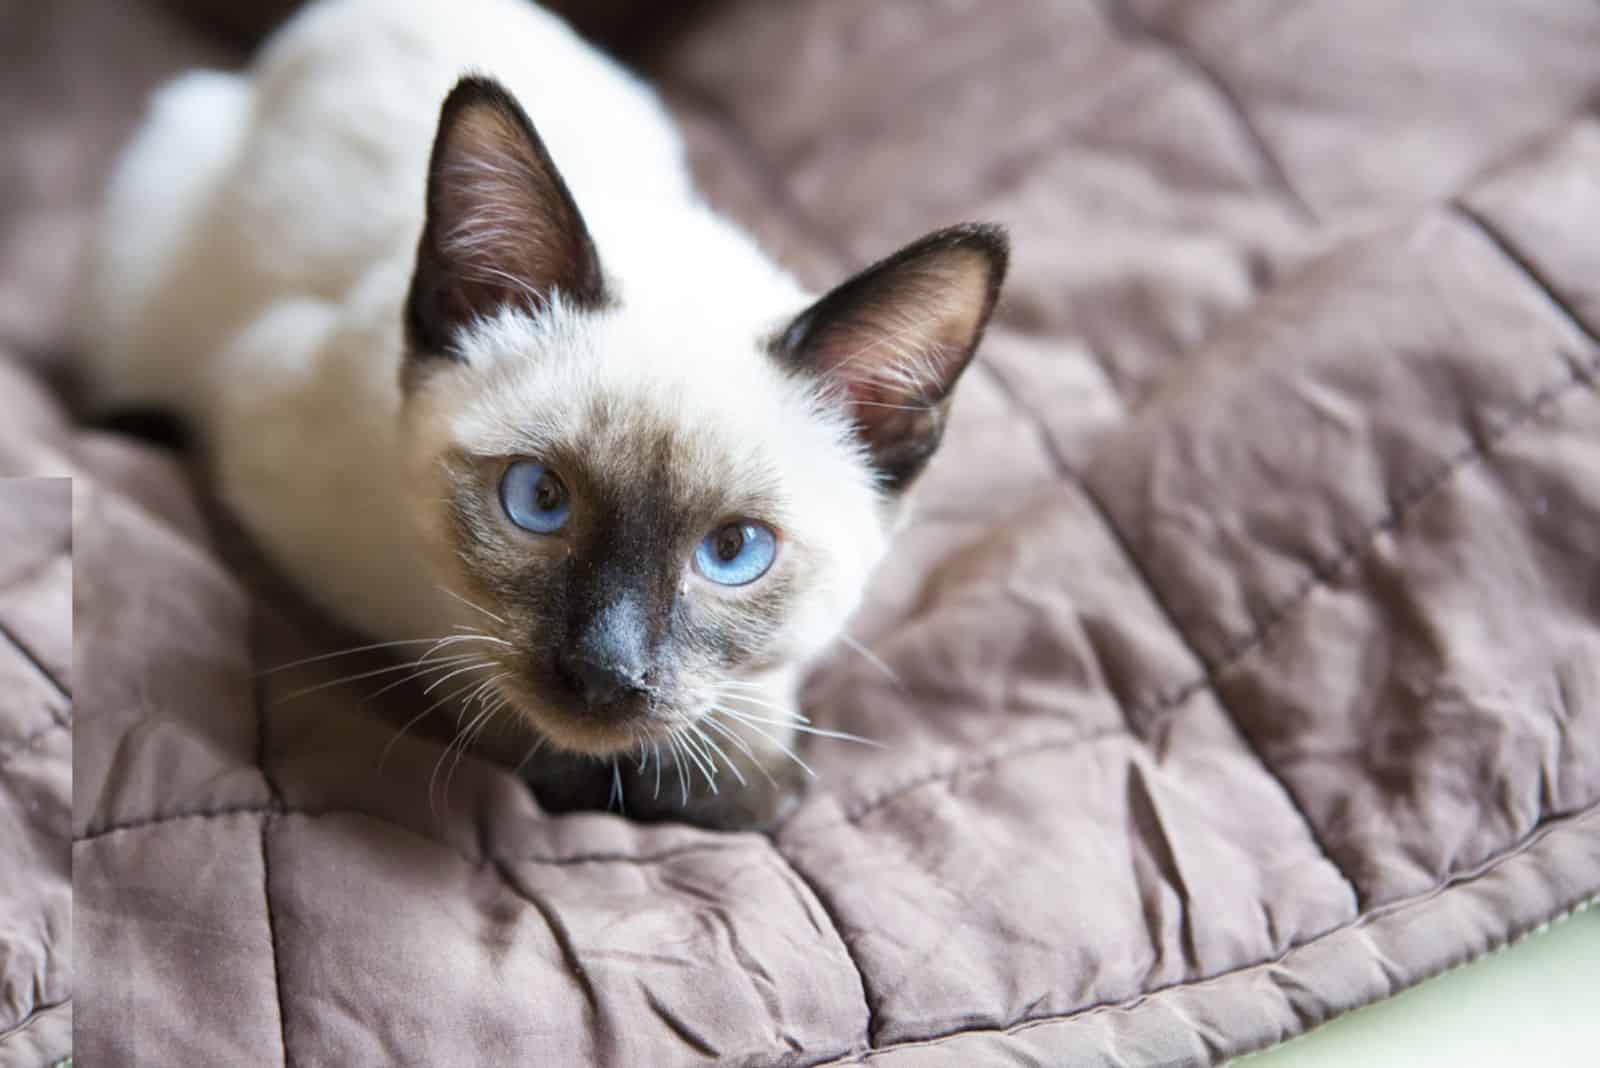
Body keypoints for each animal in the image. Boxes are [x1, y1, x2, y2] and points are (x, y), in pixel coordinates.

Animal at [81, 0, 1004, 831]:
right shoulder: (277, 474)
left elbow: (763, 710)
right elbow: (456, 658)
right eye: (538, 501)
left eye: (734, 551)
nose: (605, 674)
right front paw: (588, 776)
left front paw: (734, 780)